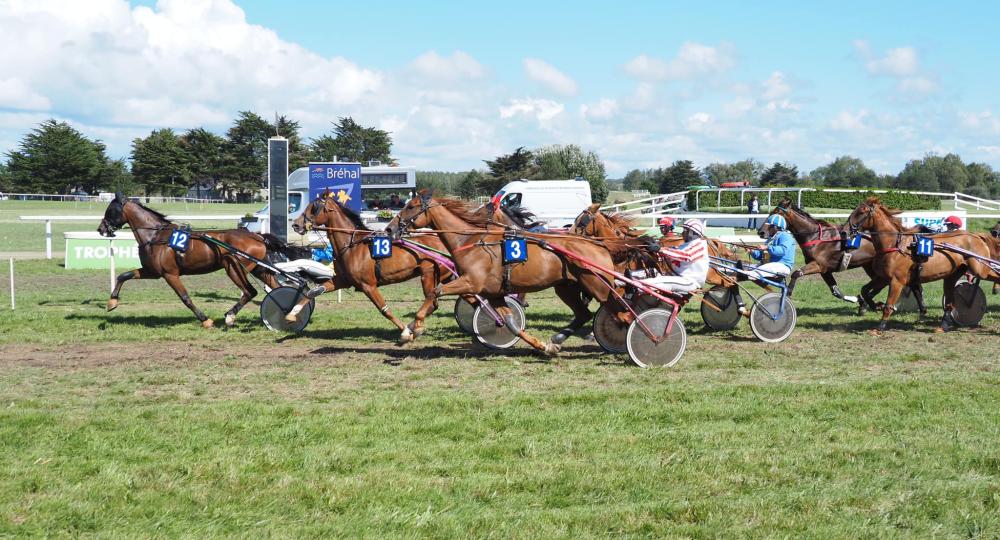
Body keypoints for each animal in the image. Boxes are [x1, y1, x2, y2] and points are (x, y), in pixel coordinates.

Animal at [96, 194, 286, 330]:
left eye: (111, 210)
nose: (100, 229)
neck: (156, 236)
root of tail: (256, 236)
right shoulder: (152, 271)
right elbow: (123, 275)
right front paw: (112, 302)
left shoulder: (170, 274)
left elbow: (185, 298)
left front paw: (206, 320)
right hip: (258, 268)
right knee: (276, 288)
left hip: (234, 268)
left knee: (249, 292)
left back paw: (230, 316)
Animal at [284, 191, 452, 342]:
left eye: (314, 207)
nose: (296, 224)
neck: (352, 246)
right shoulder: (342, 280)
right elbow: (312, 292)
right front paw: (291, 314)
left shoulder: (368, 285)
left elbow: (384, 309)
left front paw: (405, 331)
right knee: (434, 303)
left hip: (428, 274)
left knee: (432, 301)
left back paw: (415, 327)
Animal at [386, 193, 628, 354]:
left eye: (411, 206)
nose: (389, 229)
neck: (471, 241)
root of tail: (599, 244)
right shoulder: (494, 293)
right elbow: (511, 323)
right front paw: (541, 345)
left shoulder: (470, 282)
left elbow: (435, 292)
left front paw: (411, 330)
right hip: (566, 287)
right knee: (584, 314)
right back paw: (557, 339)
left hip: (598, 287)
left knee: (622, 314)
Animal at [844, 197, 1000, 332]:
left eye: (862, 211)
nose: (844, 231)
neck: (894, 244)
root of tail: (977, 236)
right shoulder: (882, 277)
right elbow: (865, 290)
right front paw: (875, 305)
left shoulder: (897, 281)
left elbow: (889, 305)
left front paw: (880, 327)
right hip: (952, 275)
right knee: (950, 302)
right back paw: (943, 326)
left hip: (980, 269)